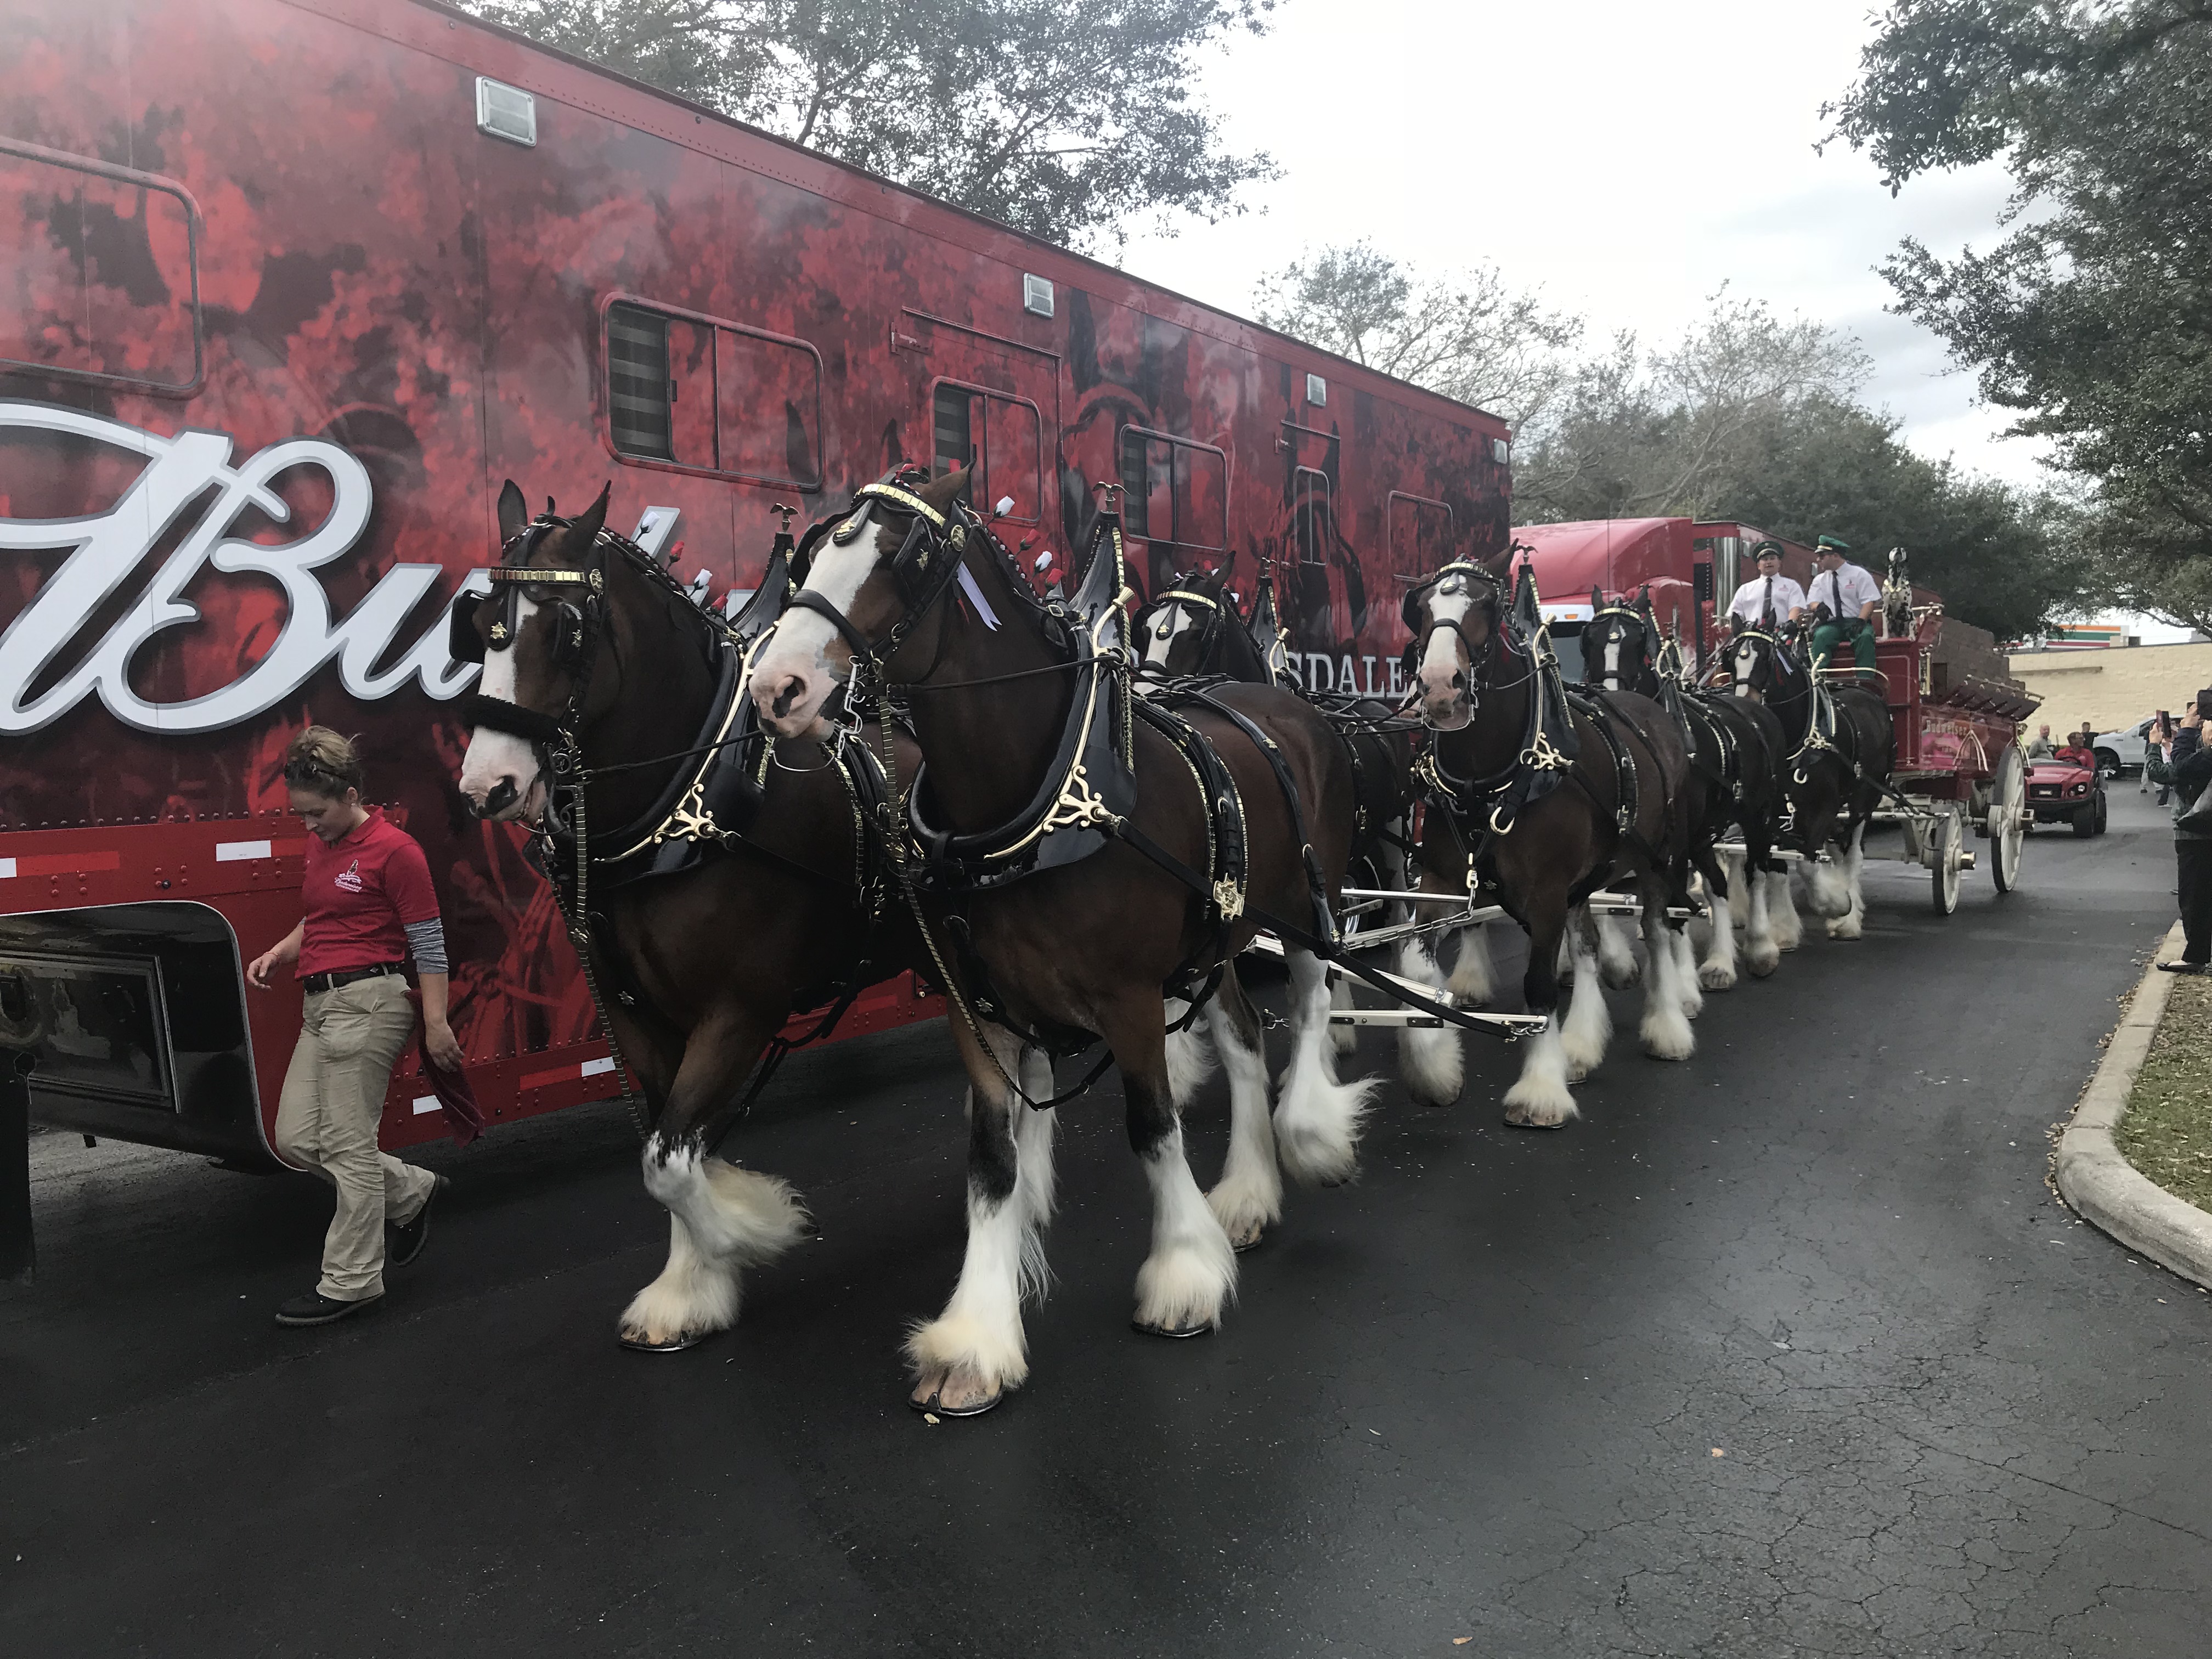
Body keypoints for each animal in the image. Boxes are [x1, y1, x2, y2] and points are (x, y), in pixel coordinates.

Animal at [452, 480, 931, 1354]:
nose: (488, 786)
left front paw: (755, 1230)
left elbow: (673, 1162)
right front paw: (689, 1287)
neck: (685, 805)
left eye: (566, 631)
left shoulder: (739, 1010)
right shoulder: (638, 1016)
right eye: (477, 626)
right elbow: (664, 1146)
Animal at [749, 467, 1375, 1415]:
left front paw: (1182, 1273)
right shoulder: (976, 1009)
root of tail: (1283, 703)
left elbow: (1152, 1126)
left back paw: (1309, 1135)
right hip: (1219, 931)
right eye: (813, 553)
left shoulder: (1130, 998)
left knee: (1306, 1004)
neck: (1031, 802)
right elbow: (991, 1159)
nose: (776, 687)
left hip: (1307, 902)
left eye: (901, 558)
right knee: (1241, 1034)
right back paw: (1248, 1194)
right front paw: (976, 1337)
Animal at [1406, 559, 1698, 1127]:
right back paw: (1581, 1046)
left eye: (1486, 606)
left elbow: (1538, 986)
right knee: (1585, 947)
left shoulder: (1544, 891)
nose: (1441, 689)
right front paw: (1435, 1070)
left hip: (1658, 857)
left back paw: (1668, 1026)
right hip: (1583, 878)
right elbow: (1416, 968)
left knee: (1656, 932)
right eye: (1422, 608)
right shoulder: (1441, 880)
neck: (1491, 778)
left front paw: (1540, 1090)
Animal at [1580, 590, 1794, 985]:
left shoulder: (1673, 841)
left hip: (1758, 815)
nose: (1609, 699)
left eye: (1639, 641)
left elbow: (1675, 907)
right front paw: (1623, 964)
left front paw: (1678, 983)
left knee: (1757, 872)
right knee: (1718, 884)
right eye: (1590, 640)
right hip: (1703, 833)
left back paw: (1760, 947)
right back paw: (1720, 961)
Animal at [1725, 621, 1895, 938]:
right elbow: (1779, 866)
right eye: (1730, 659)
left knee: (1853, 853)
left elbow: (1807, 864)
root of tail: (1872, 697)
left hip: (1864, 799)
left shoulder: (1823, 810)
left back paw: (1849, 919)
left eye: (1765, 657)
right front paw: (1783, 928)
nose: (1744, 706)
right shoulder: (1772, 815)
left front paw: (1838, 905)